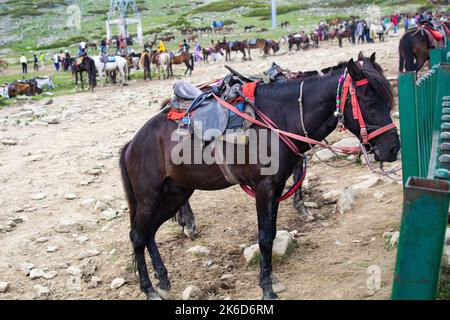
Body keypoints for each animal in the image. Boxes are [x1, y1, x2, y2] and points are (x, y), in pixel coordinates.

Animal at [120, 53, 400, 302]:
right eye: (369, 101)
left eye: (388, 100)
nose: (392, 148)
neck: (280, 118)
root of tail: (132, 144)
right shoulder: (264, 188)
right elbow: (264, 237)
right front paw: (267, 288)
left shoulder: (276, 187)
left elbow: (272, 234)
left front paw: (271, 278)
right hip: (149, 197)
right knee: (137, 236)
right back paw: (149, 289)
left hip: (175, 193)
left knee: (150, 233)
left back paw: (163, 279)